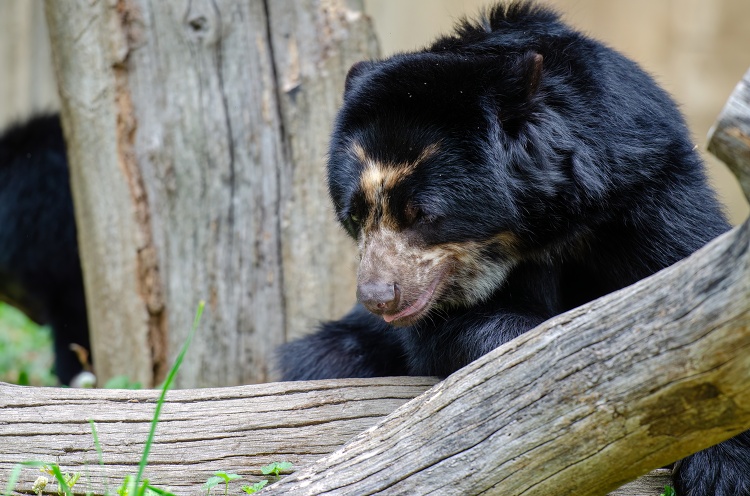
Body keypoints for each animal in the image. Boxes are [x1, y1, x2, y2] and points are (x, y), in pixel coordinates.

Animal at [280, 1, 748, 494]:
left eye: (423, 214)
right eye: (355, 216)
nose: (379, 298)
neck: (539, 230)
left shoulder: (649, 187)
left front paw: (722, 470)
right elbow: (466, 332)